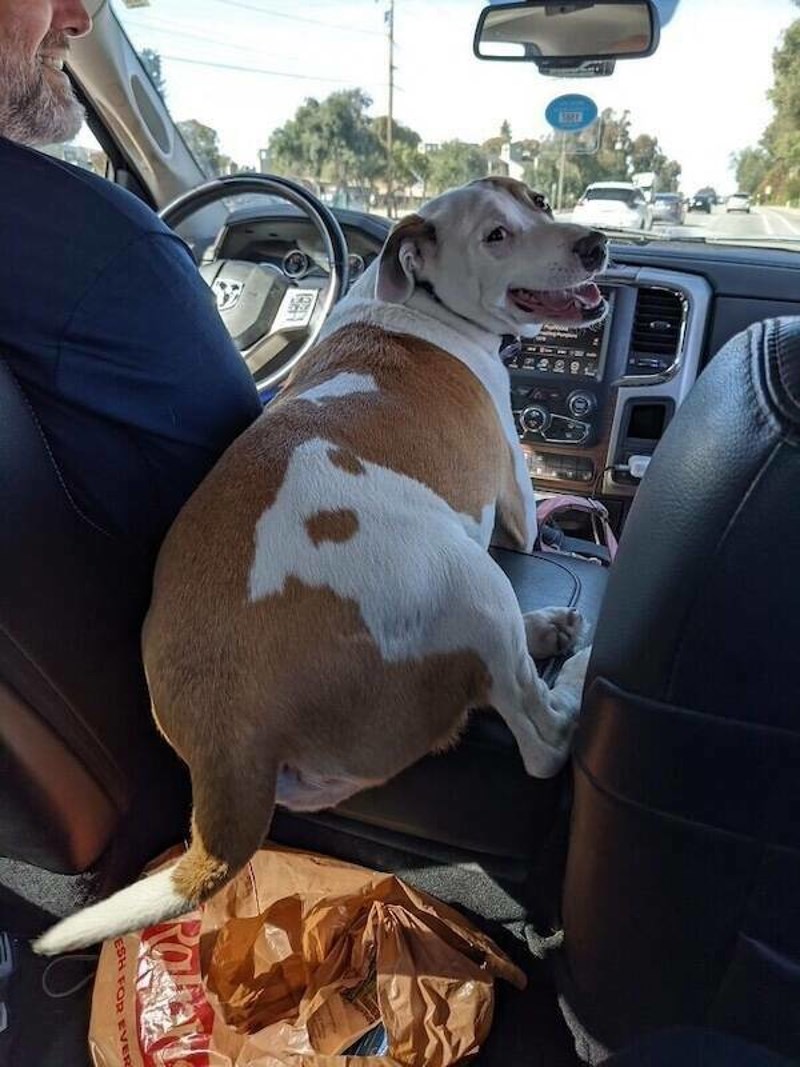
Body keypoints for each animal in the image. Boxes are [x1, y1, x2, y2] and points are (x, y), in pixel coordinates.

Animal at [34, 177, 608, 955]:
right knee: (540, 737)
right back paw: (573, 670)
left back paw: (548, 630)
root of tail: (227, 733)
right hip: (471, 576)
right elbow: (535, 521)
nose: (596, 244)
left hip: (330, 770)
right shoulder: (516, 489)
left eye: (539, 201)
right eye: (496, 236)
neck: (416, 299)